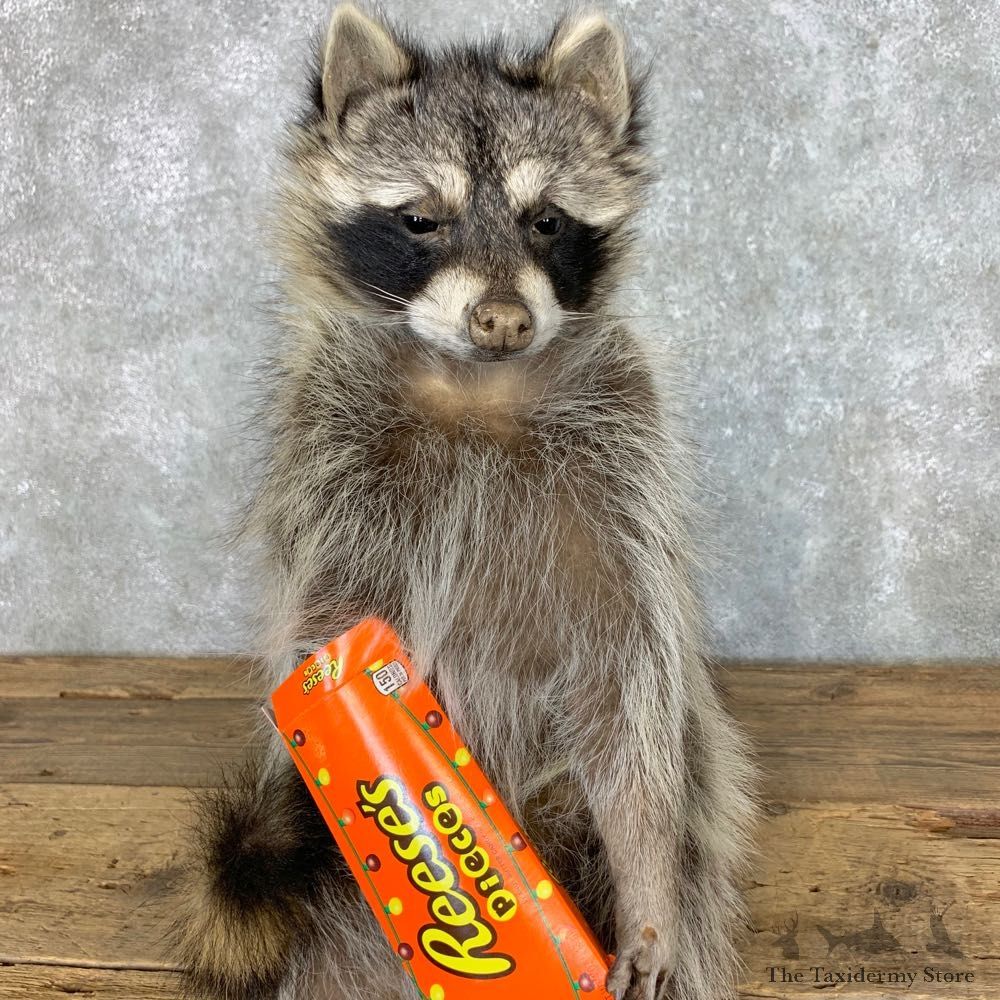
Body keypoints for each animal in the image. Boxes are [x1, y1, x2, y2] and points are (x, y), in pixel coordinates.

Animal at [171, 6, 757, 1000]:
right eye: (420, 221)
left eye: (546, 220)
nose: (503, 318)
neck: (477, 382)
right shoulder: (332, 461)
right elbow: (325, 618)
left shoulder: (622, 463)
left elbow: (630, 683)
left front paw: (644, 880)